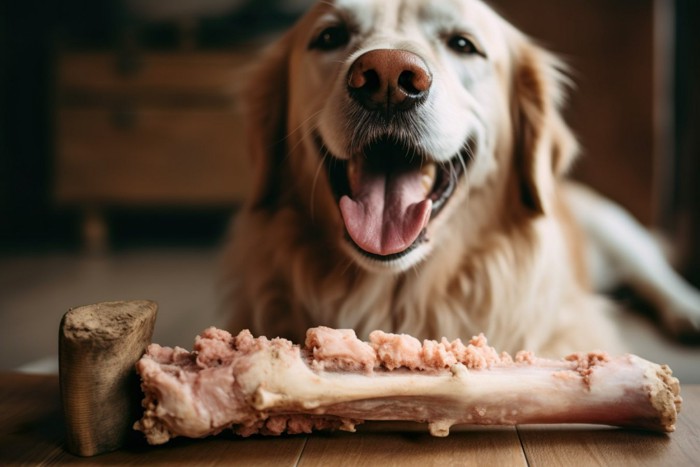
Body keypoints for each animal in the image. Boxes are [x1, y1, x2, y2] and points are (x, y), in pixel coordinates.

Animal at [223, 0, 700, 356]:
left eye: (463, 44)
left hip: (613, 224)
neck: (394, 299)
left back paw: (688, 312)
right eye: (330, 37)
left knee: (654, 273)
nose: (389, 77)